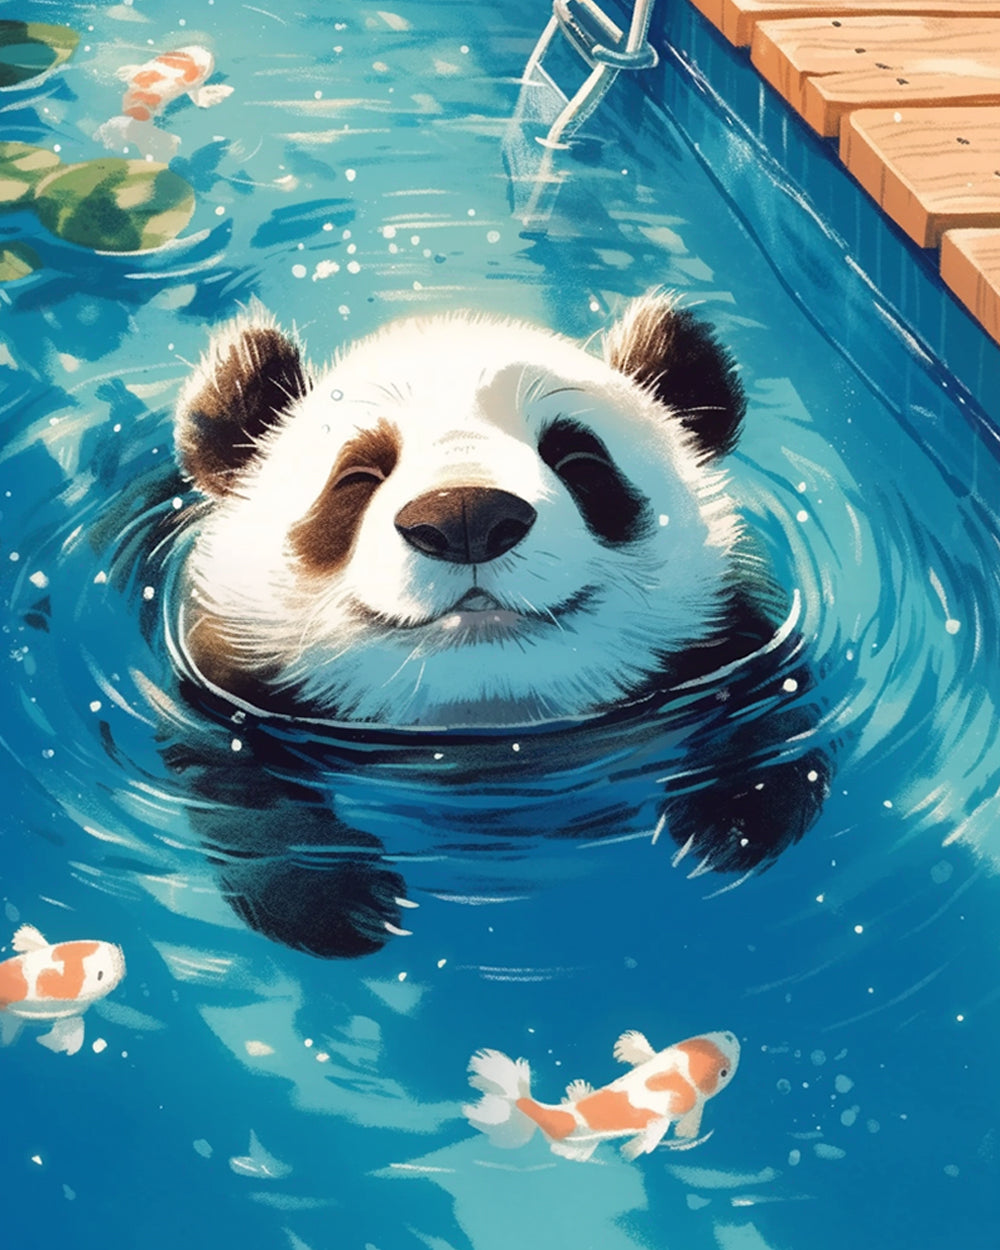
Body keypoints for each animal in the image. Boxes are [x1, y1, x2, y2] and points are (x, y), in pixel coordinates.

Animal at [157, 291, 830, 957]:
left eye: (579, 459)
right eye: (357, 475)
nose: (466, 517)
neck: (485, 726)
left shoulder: (731, 642)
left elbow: (773, 706)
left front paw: (734, 822)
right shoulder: (226, 686)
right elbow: (236, 787)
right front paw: (336, 902)